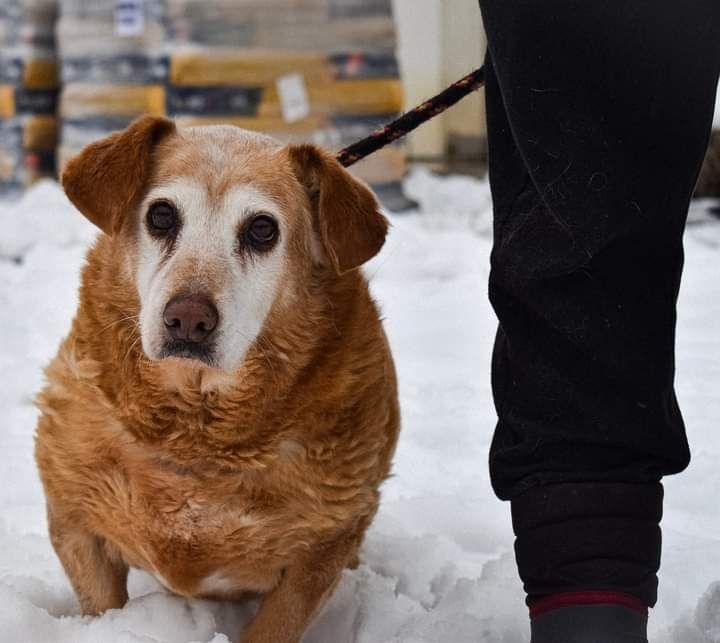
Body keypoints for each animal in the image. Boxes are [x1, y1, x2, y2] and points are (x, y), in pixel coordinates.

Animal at [33, 117, 400, 643]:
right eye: (161, 215)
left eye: (262, 229)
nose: (188, 319)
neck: (195, 427)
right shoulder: (75, 518)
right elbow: (102, 605)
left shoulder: (322, 547)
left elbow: (276, 624)